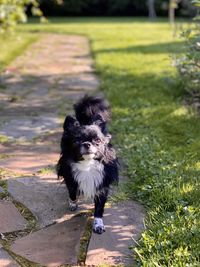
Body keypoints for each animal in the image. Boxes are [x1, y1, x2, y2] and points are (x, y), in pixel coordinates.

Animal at [56, 96, 119, 234]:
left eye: (97, 140)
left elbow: (99, 209)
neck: (87, 165)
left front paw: (98, 225)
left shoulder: (102, 187)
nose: (87, 144)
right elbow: (72, 192)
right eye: (77, 141)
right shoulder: (70, 178)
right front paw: (73, 204)